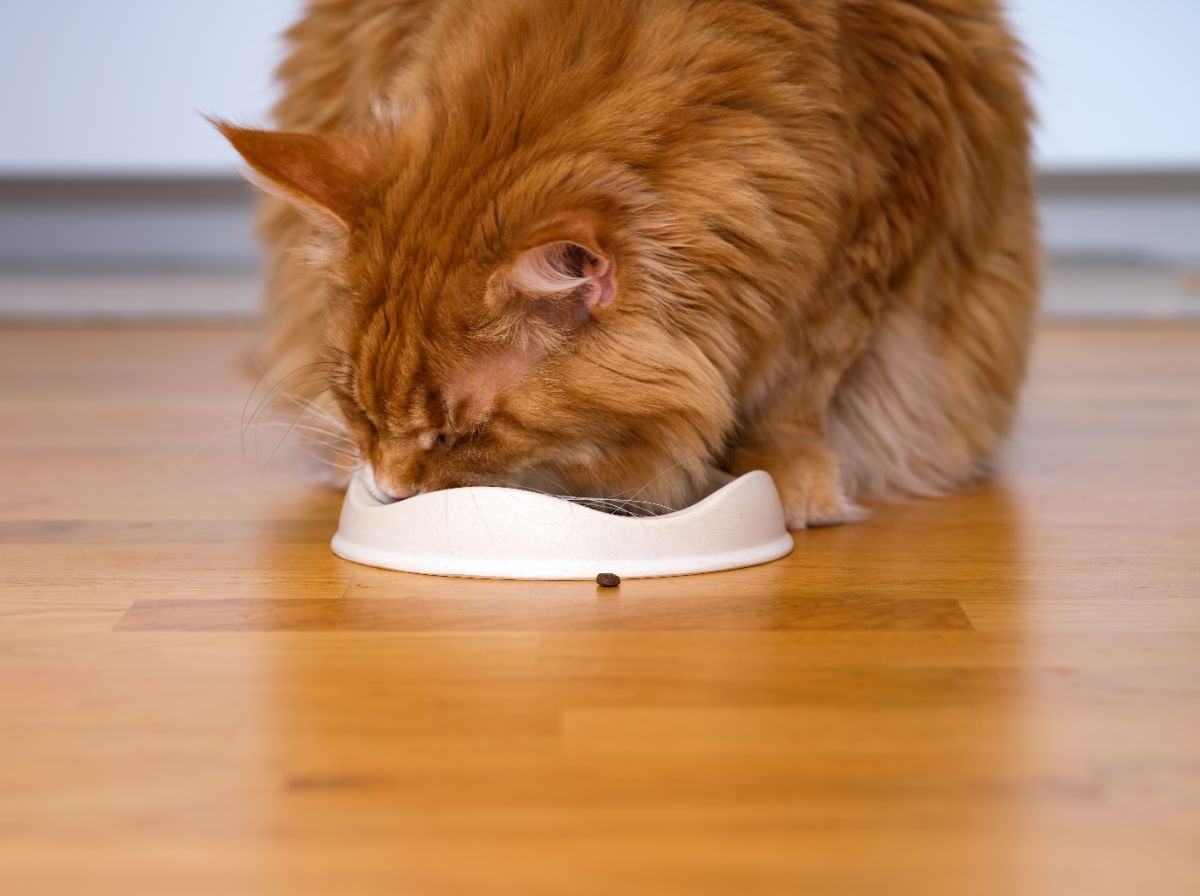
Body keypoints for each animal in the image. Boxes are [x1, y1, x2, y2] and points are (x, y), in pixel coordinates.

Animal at [218, 0, 1041, 530]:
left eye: (457, 436)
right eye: (359, 410)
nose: (387, 489)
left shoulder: (875, 215)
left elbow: (805, 374)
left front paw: (791, 475)